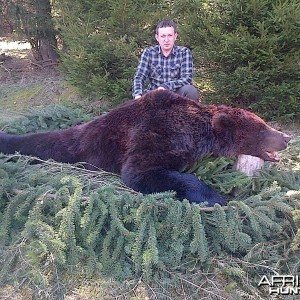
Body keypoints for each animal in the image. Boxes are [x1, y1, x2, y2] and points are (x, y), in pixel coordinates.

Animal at [0, 89, 292, 206]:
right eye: (263, 128)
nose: (287, 137)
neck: (197, 131)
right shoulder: (155, 133)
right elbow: (140, 171)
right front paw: (215, 197)